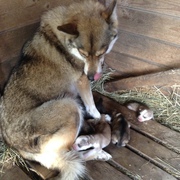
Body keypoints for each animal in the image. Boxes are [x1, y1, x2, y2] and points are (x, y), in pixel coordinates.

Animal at [0, 0, 118, 179]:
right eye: (83, 54)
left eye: (101, 52)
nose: (92, 77)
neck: (63, 41)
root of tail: (19, 148)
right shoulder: (82, 80)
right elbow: (92, 106)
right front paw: (101, 118)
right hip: (70, 106)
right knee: (74, 154)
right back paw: (99, 153)